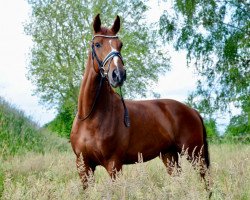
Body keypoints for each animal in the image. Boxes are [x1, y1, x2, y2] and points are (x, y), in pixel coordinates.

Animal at [70, 14, 209, 189]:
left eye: (120, 45)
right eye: (97, 44)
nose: (118, 74)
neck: (91, 116)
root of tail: (192, 111)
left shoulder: (113, 165)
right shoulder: (83, 166)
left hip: (195, 154)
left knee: (206, 181)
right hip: (169, 155)